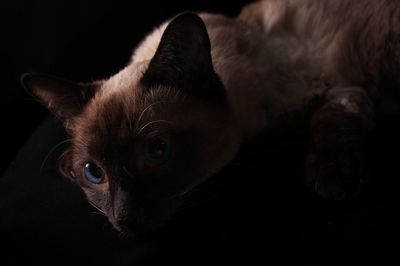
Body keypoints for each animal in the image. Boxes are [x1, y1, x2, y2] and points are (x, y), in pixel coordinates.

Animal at [22, 0, 400, 235]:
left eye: (157, 151)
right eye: (93, 173)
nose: (125, 219)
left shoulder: (340, 88)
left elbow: (326, 118)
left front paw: (335, 180)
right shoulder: (342, 91)